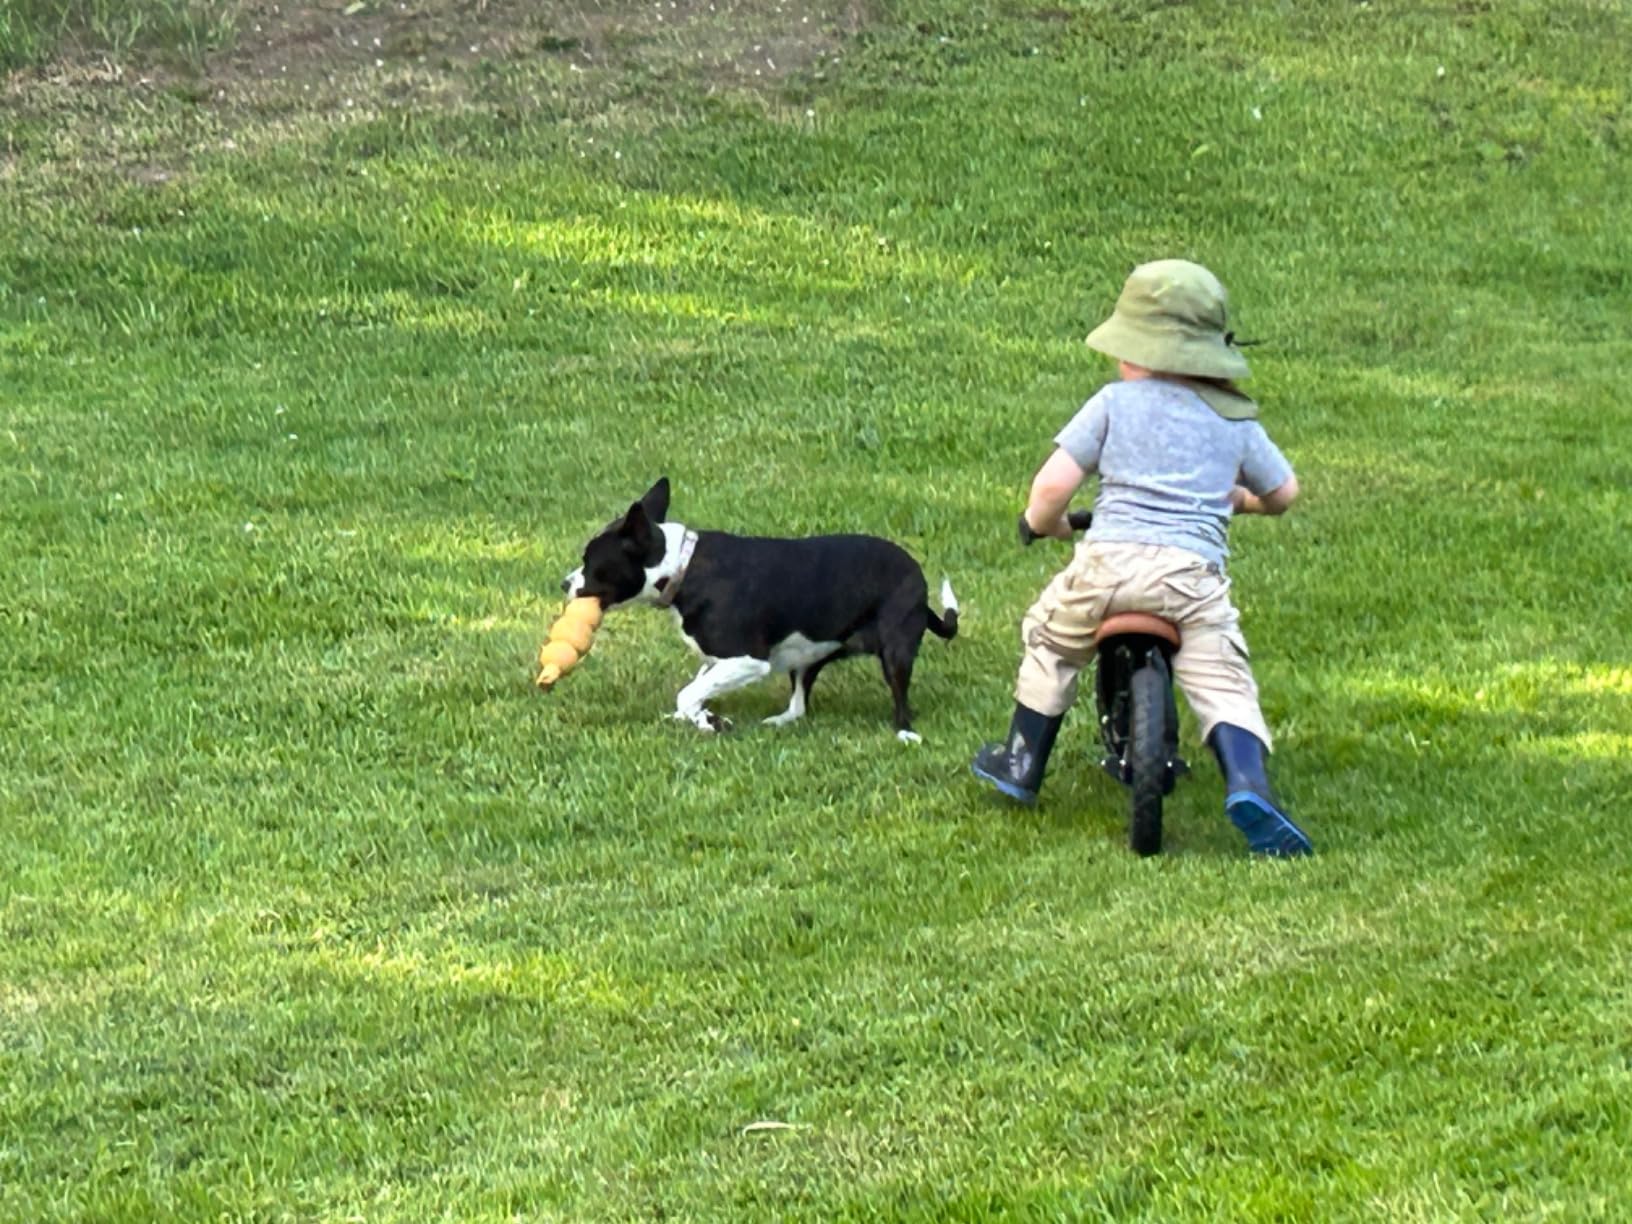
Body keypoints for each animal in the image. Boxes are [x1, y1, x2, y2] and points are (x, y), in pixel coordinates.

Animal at [567, 483, 959, 744]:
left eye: (591, 563)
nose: (563, 582)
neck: (682, 567)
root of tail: (918, 576)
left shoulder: (748, 659)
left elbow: (688, 693)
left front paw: (702, 720)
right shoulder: (717, 659)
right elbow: (696, 690)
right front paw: (699, 718)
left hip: (896, 649)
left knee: (900, 697)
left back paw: (905, 732)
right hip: (808, 657)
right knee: (799, 706)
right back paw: (779, 721)